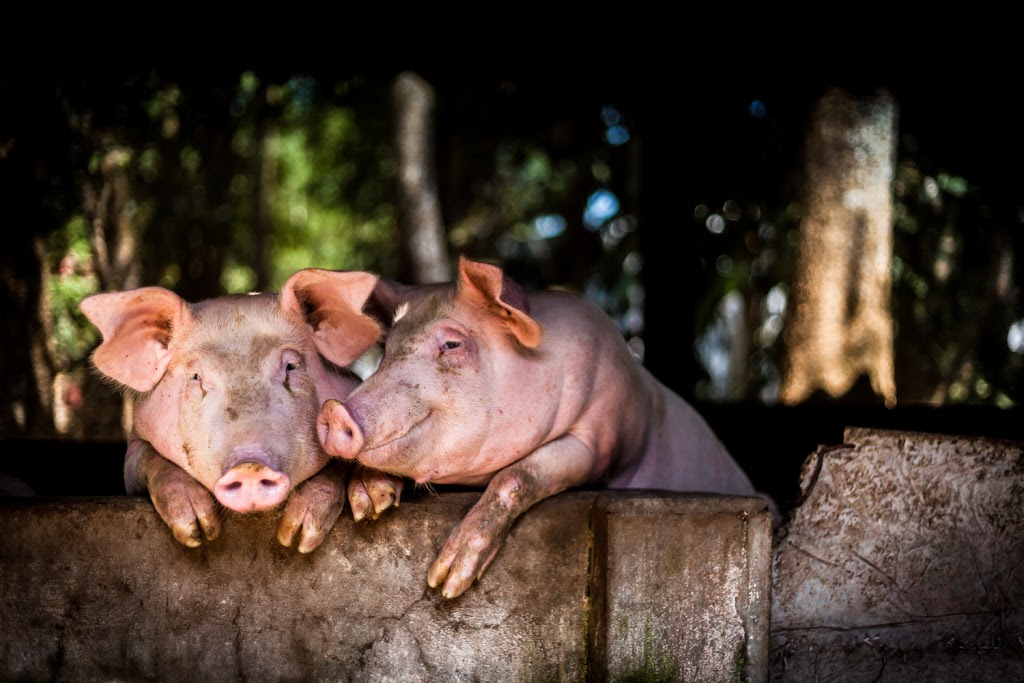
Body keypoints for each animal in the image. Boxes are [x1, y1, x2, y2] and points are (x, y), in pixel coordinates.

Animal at [79, 268, 401, 557]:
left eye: (290, 367)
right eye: (196, 376)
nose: (250, 466)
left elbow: (339, 462)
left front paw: (298, 537)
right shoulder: (135, 445)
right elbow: (150, 459)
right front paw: (197, 531)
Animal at [319, 255, 774, 598]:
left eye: (452, 344)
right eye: (387, 349)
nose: (334, 410)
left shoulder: (601, 442)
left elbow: (518, 476)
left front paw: (446, 582)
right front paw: (368, 503)